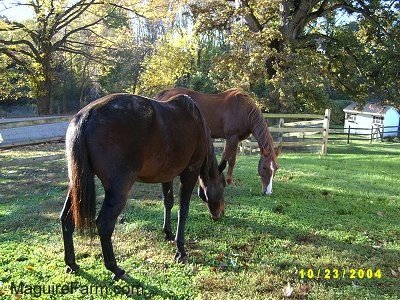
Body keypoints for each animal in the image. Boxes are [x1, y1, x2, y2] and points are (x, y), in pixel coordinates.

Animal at [61, 93, 227, 278]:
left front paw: (168, 233)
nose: (220, 214)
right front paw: (180, 250)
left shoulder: (166, 175)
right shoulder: (190, 173)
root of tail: (86, 116)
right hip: (118, 189)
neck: (197, 122)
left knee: (66, 220)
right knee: (104, 224)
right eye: (223, 185)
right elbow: (183, 210)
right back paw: (115, 268)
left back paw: (71, 263)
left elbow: (168, 202)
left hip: (76, 184)